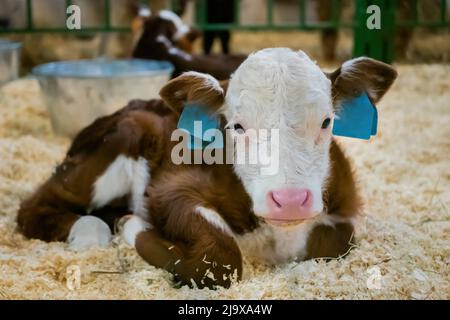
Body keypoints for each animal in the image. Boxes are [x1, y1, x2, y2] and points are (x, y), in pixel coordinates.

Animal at [17, 48, 398, 290]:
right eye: (237, 126)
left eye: (326, 121)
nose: (289, 200)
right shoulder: (170, 187)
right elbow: (218, 257)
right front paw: (133, 225)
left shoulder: (343, 207)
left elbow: (337, 242)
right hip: (119, 140)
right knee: (35, 207)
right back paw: (92, 228)